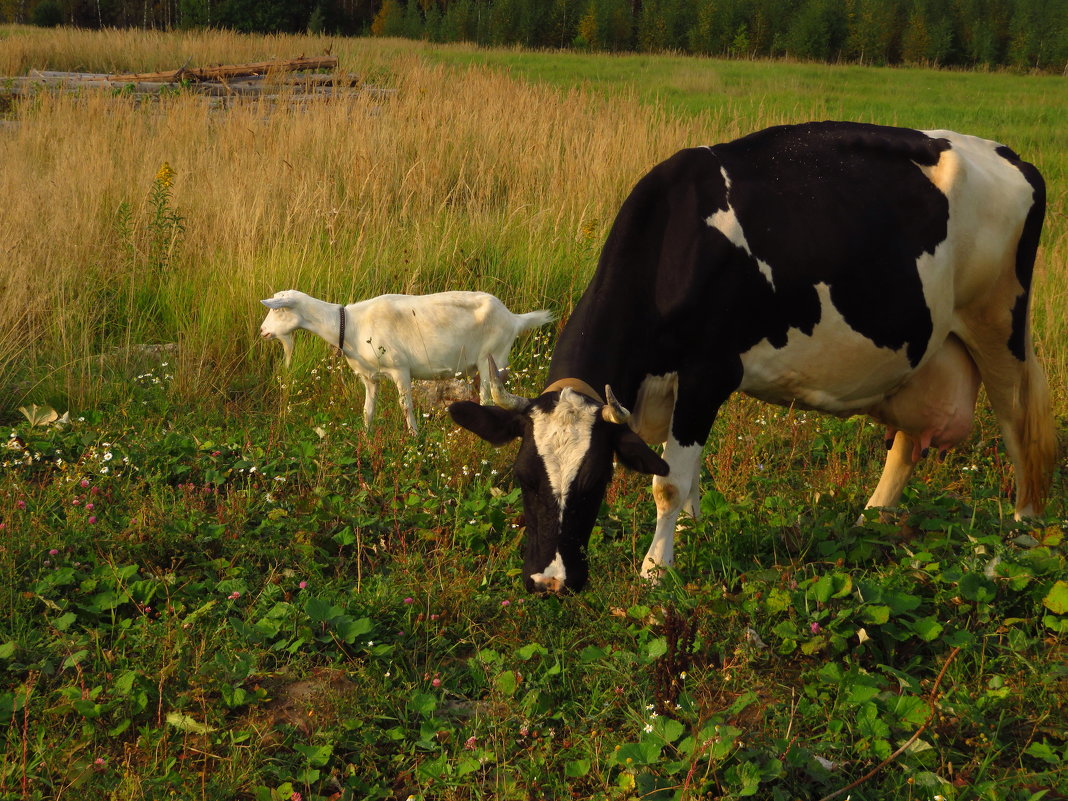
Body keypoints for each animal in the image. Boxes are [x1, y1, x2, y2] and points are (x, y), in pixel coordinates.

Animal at [261, 290, 555, 433]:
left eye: (280, 310)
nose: (263, 332)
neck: (350, 325)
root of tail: (514, 318)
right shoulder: (369, 377)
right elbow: (368, 410)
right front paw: (366, 436)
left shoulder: (400, 369)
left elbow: (406, 406)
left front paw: (414, 437)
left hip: (492, 358)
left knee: (489, 399)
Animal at [446, 120, 1055, 598]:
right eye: (523, 476)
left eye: (596, 480)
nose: (549, 581)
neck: (675, 241)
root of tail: (1012, 156)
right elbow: (685, 478)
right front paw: (688, 533)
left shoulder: (708, 373)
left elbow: (669, 482)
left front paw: (655, 570)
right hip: (927, 347)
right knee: (909, 440)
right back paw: (873, 521)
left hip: (998, 322)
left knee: (1019, 426)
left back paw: (1023, 537)